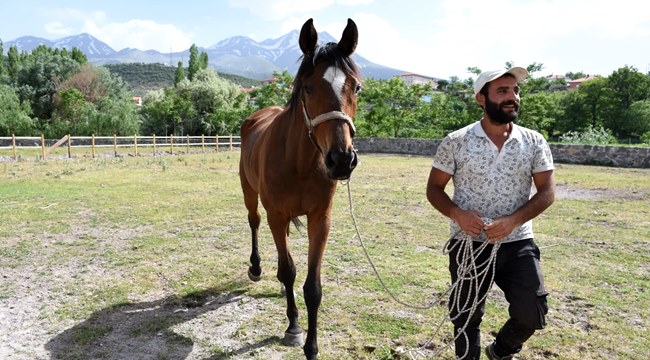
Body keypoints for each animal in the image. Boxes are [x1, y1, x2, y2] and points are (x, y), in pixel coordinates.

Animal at [238, 19, 362, 360]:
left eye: (356, 87)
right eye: (308, 87)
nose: (342, 159)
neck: (300, 162)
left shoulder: (321, 219)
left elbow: (312, 286)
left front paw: (312, 345)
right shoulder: (276, 215)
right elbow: (289, 270)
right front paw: (293, 328)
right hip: (249, 193)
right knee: (254, 222)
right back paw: (256, 268)